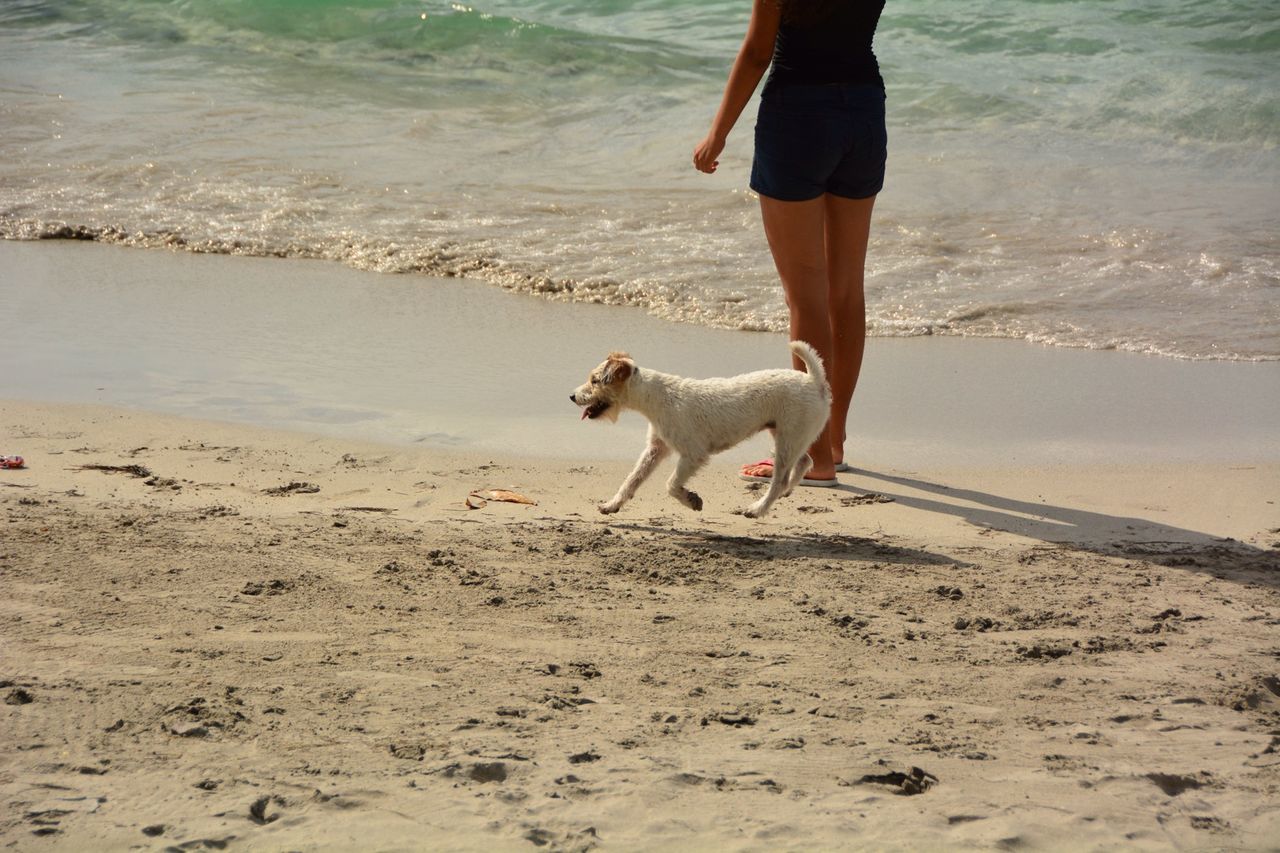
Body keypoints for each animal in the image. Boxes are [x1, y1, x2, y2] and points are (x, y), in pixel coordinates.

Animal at [570, 340, 829, 514]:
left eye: (595, 380)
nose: (572, 396)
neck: (656, 396)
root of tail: (814, 381)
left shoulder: (693, 455)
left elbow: (672, 484)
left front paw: (692, 500)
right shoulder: (656, 449)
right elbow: (632, 479)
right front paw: (611, 505)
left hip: (787, 439)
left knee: (779, 480)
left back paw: (757, 509)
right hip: (788, 435)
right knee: (805, 462)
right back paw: (784, 492)